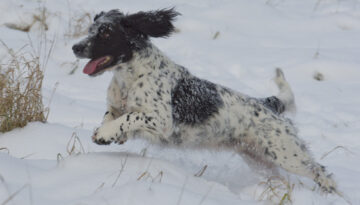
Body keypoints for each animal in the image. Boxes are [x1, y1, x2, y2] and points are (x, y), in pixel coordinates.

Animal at [72, 8, 338, 194]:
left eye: (106, 32)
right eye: (91, 29)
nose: (75, 47)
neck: (129, 77)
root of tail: (267, 103)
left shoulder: (161, 120)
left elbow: (130, 116)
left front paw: (105, 134)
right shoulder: (116, 106)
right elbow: (112, 116)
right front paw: (109, 134)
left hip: (288, 154)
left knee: (322, 172)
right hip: (261, 159)